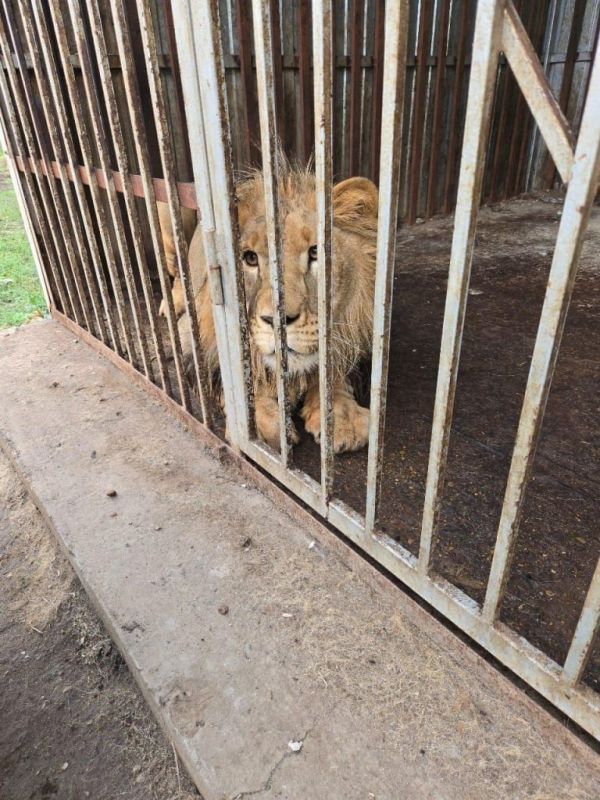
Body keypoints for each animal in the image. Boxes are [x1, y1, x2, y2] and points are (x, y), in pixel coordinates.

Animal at [161, 167, 378, 453]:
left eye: (316, 253)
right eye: (250, 258)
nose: (278, 321)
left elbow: (333, 372)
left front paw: (342, 418)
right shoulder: (193, 344)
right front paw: (260, 430)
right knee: (176, 272)